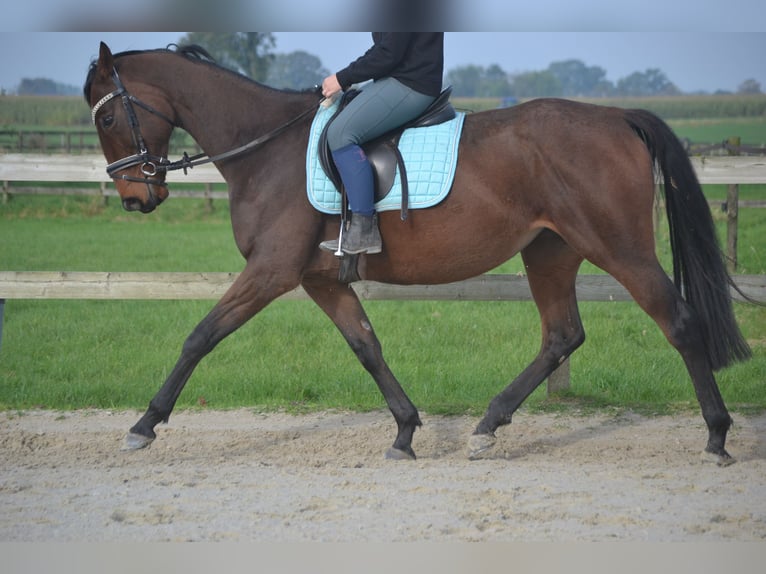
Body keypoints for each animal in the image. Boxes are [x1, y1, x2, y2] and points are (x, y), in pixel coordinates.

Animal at [82, 44, 752, 468]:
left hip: (619, 247)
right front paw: (404, 431)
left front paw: (144, 426)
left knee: (678, 321)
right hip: (551, 252)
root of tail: (616, 117)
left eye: (109, 117)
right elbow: (366, 346)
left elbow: (200, 335)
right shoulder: (321, 279)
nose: (137, 198)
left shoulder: (270, 272)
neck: (265, 150)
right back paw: (486, 428)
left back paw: (717, 437)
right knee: (562, 335)